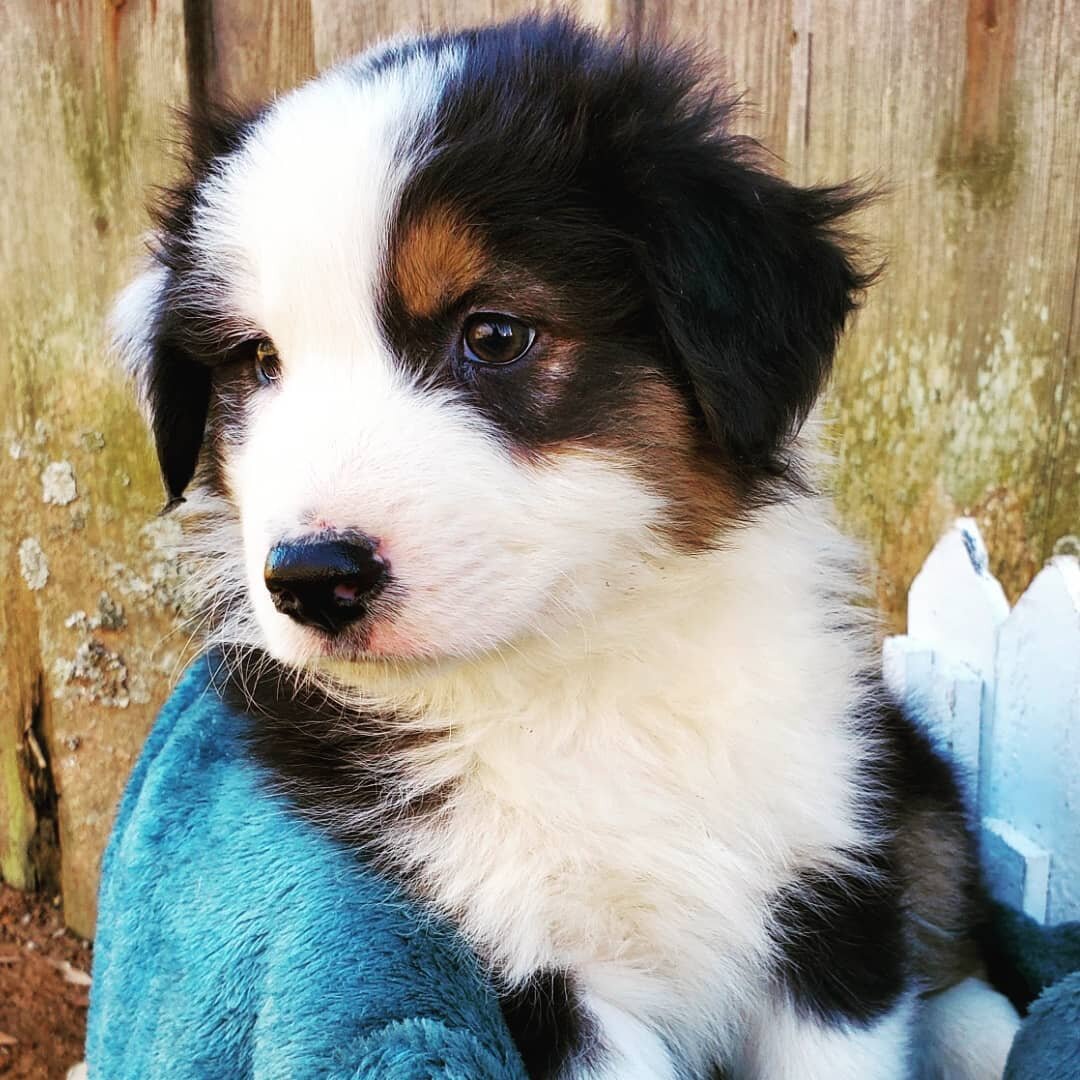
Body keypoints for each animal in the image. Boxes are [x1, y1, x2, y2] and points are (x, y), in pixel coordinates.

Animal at [116, 16, 1019, 1080]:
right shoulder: (524, 954)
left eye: (495, 335)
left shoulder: (830, 873)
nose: (312, 580)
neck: (580, 669)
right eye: (259, 362)